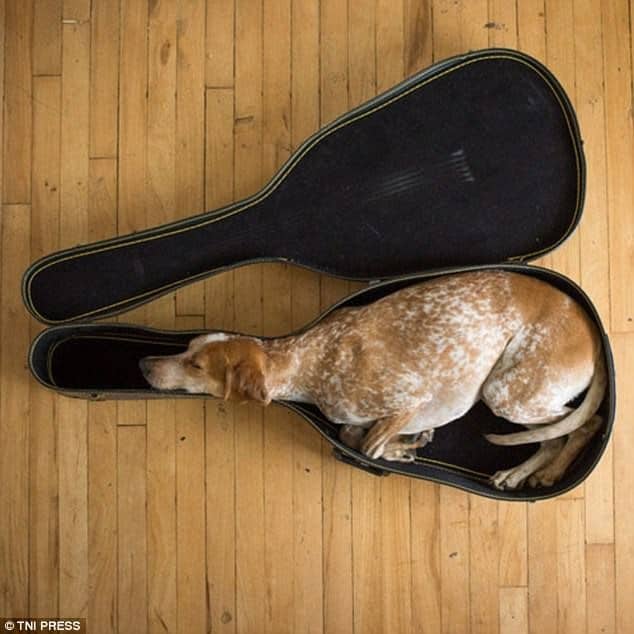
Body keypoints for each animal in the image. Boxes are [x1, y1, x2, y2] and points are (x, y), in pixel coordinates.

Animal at [141, 270, 604, 488]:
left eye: (197, 366)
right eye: (186, 348)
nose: (144, 364)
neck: (309, 359)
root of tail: (593, 330)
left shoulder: (410, 399)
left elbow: (368, 446)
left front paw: (400, 449)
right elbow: (352, 435)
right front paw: (405, 446)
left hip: (504, 393)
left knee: (583, 425)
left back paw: (542, 473)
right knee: (556, 435)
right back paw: (518, 474)